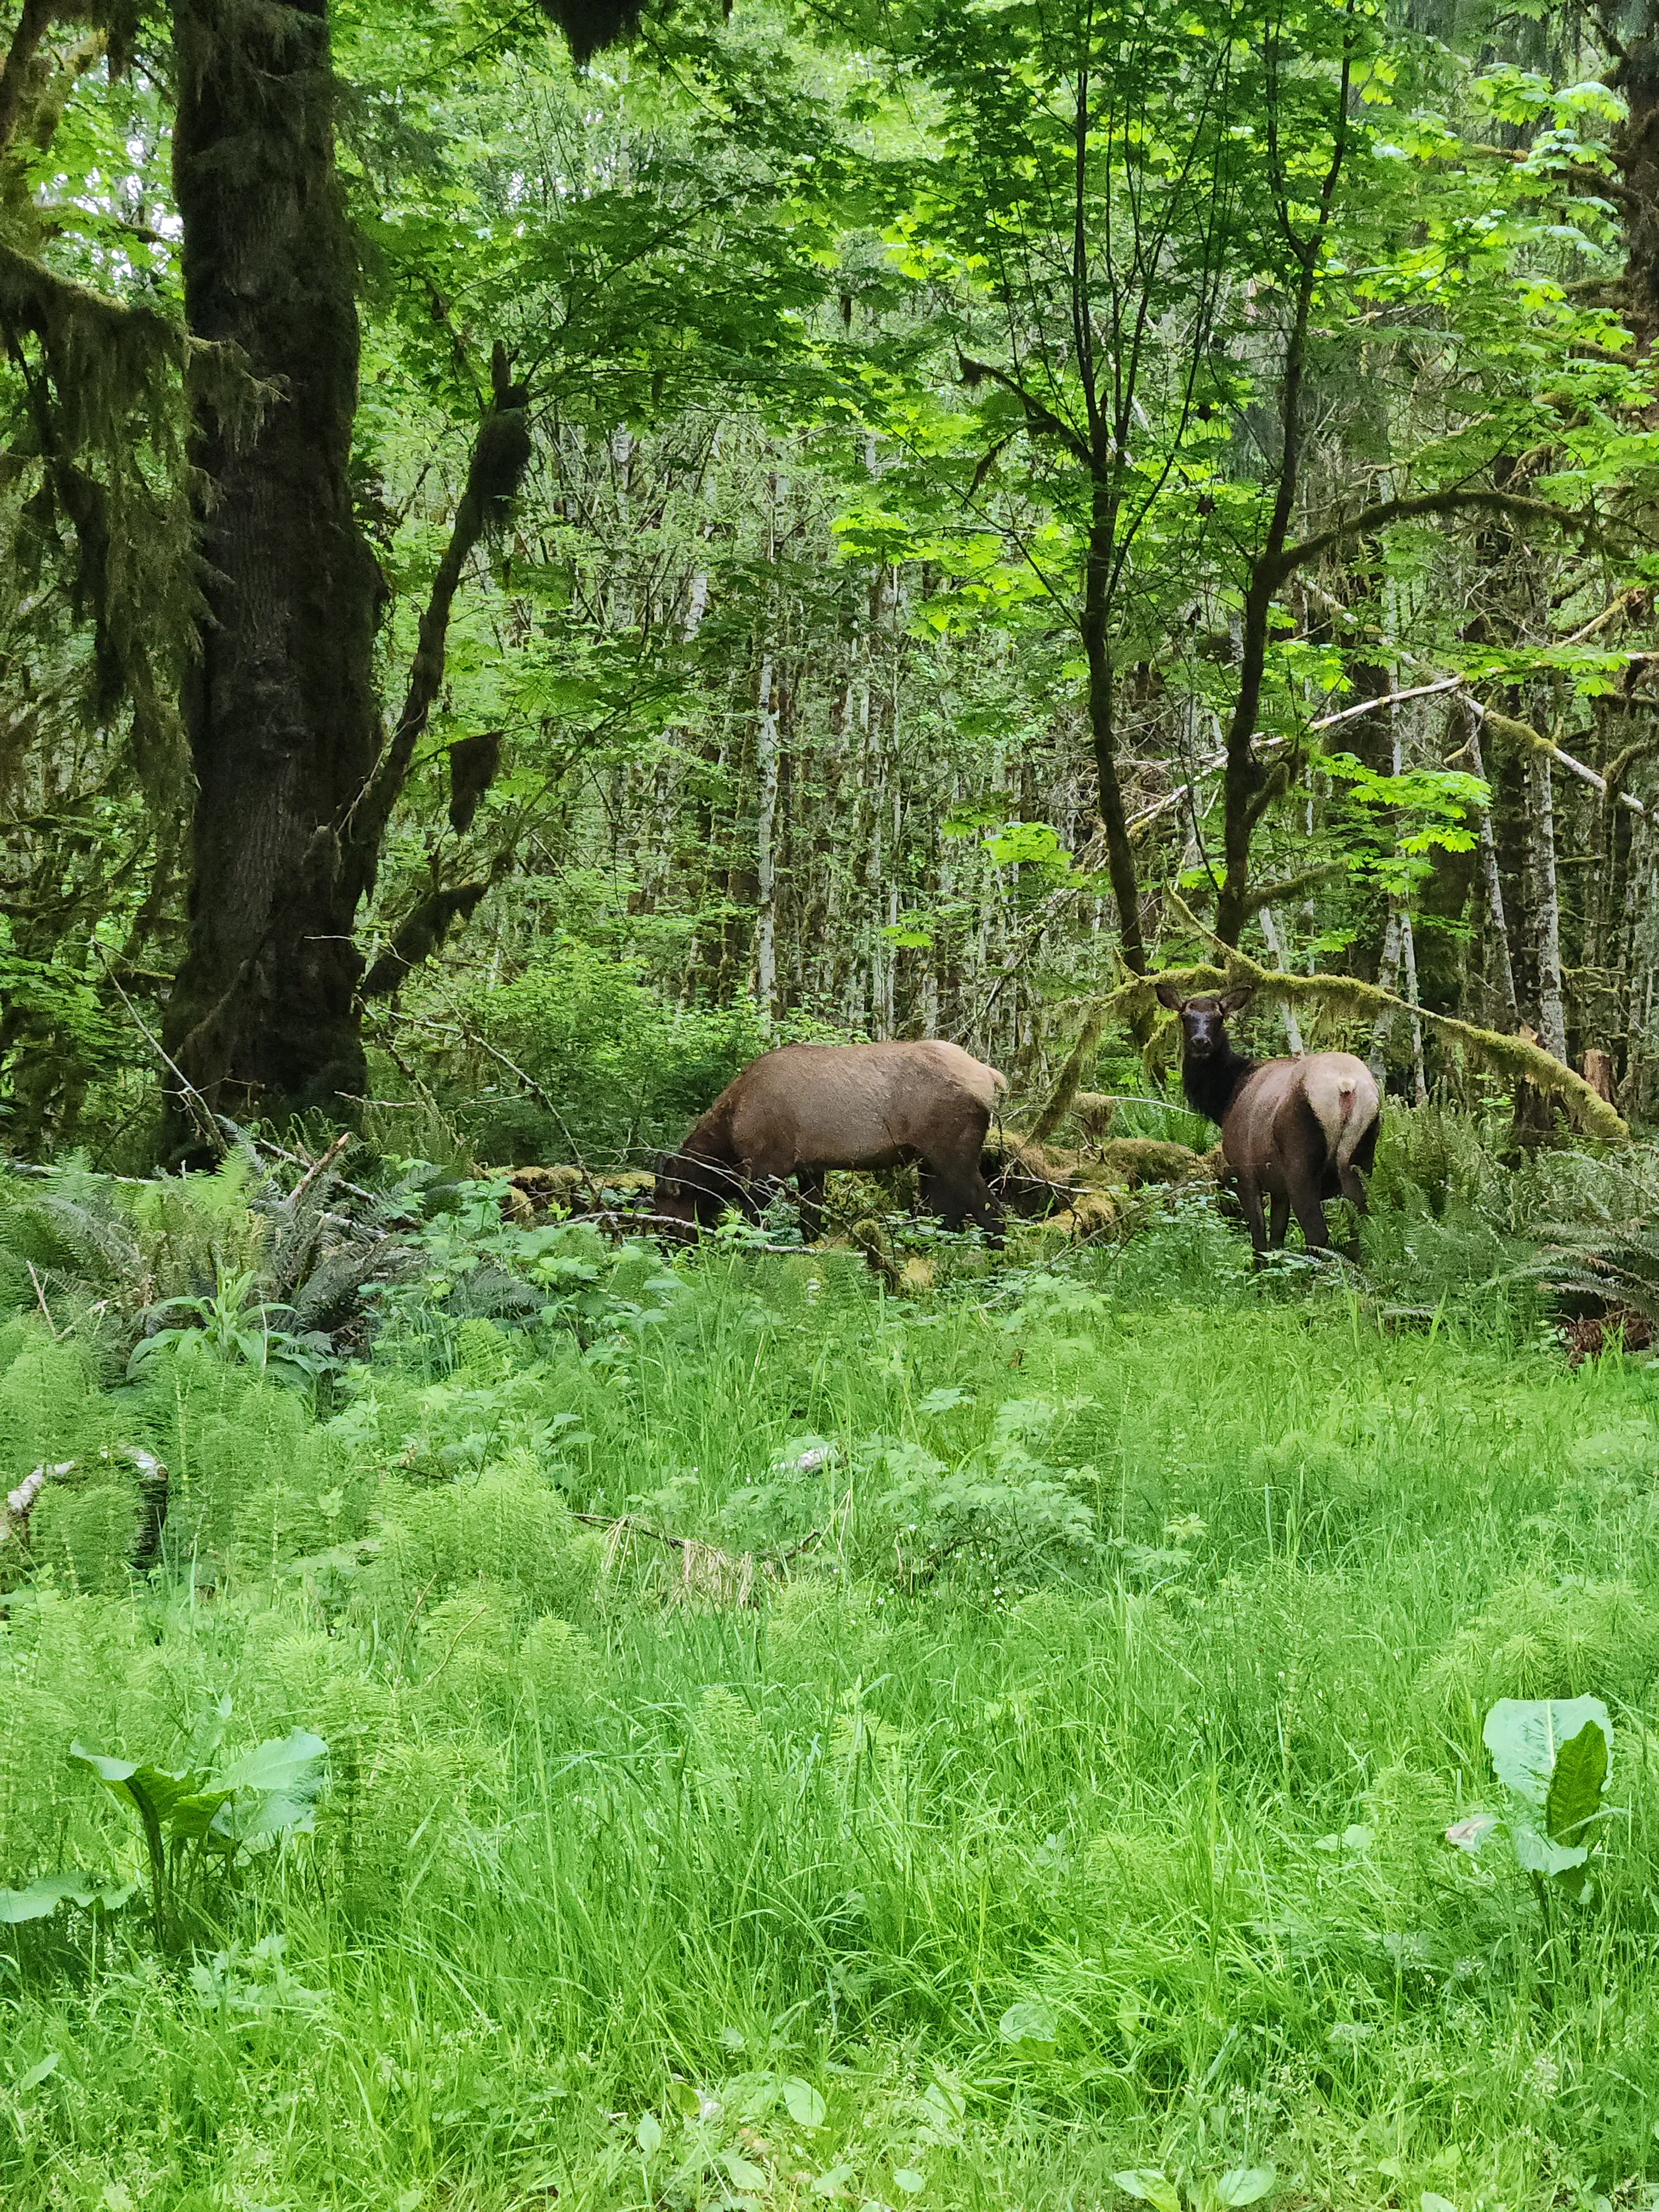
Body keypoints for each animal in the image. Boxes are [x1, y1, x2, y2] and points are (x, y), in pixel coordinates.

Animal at [654, 1040, 1007, 1243]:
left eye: (667, 1223)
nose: (664, 1247)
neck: (731, 1127)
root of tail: (992, 1076)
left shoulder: (769, 1164)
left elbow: (754, 1219)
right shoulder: (810, 1167)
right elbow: (810, 1222)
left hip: (953, 1150)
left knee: (991, 1210)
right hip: (929, 1159)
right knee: (944, 1214)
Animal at [1154, 984, 1381, 1258]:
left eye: (1219, 1017)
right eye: (1185, 1016)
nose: (1200, 1041)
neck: (1226, 1098)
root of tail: (1346, 1085)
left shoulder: (1244, 1169)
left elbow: (1260, 1242)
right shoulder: (1278, 1187)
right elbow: (1277, 1239)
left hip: (1300, 1161)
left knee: (1317, 1234)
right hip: (1360, 1158)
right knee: (1363, 1228)